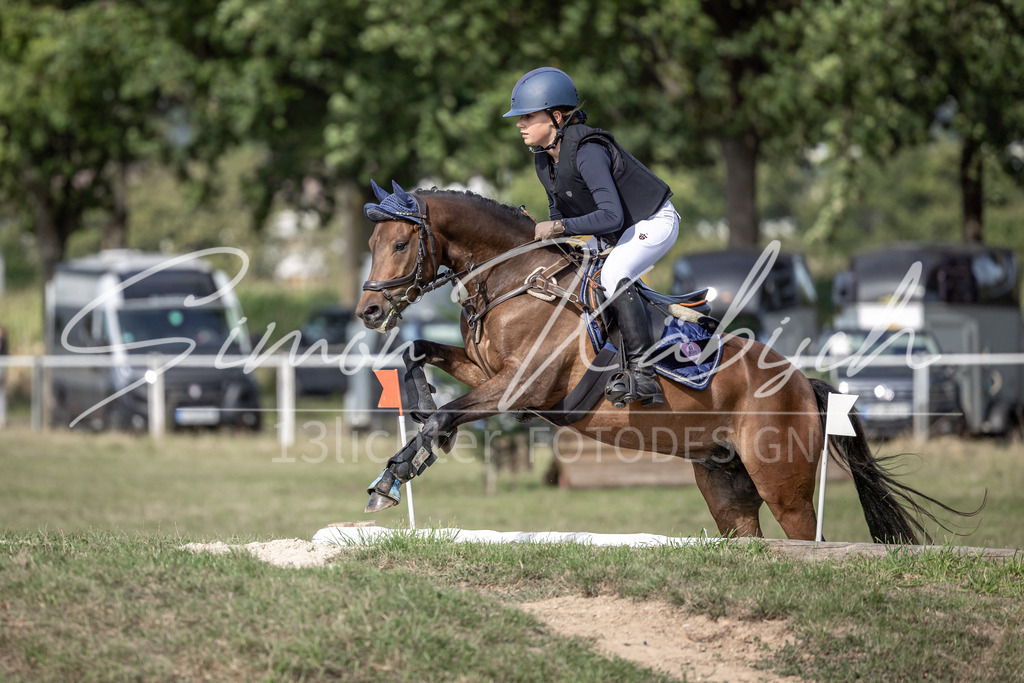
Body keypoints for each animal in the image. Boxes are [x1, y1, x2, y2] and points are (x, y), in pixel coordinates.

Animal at [356, 182, 971, 543]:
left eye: (399, 245)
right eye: (372, 244)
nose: (369, 311)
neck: (516, 278)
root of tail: (804, 384)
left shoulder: (518, 387)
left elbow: (446, 413)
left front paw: (395, 475)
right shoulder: (487, 373)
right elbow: (418, 354)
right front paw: (416, 410)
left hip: (786, 488)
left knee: (803, 535)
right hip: (726, 486)